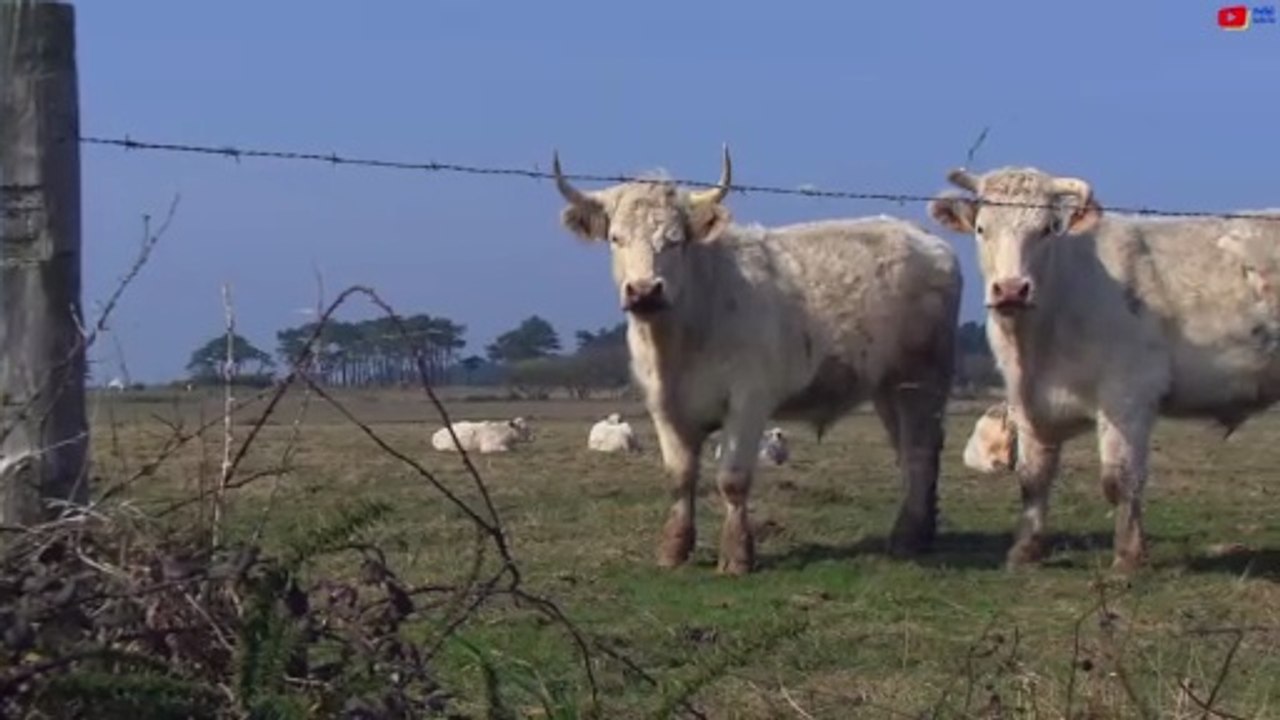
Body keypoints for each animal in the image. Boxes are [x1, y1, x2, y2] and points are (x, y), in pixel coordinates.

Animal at [551, 145, 963, 575]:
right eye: (616, 238)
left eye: (675, 240)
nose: (645, 291)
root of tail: (925, 238)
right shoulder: (663, 405)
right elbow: (680, 477)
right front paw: (673, 549)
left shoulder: (748, 401)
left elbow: (732, 479)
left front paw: (736, 556)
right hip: (888, 388)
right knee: (907, 450)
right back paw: (919, 531)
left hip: (922, 378)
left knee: (919, 450)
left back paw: (908, 537)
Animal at [927, 165, 1280, 571]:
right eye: (982, 228)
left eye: (1046, 229)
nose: (1012, 290)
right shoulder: (1027, 402)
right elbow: (1033, 478)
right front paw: (1024, 551)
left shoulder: (1128, 394)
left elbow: (1120, 479)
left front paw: (1128, 558)